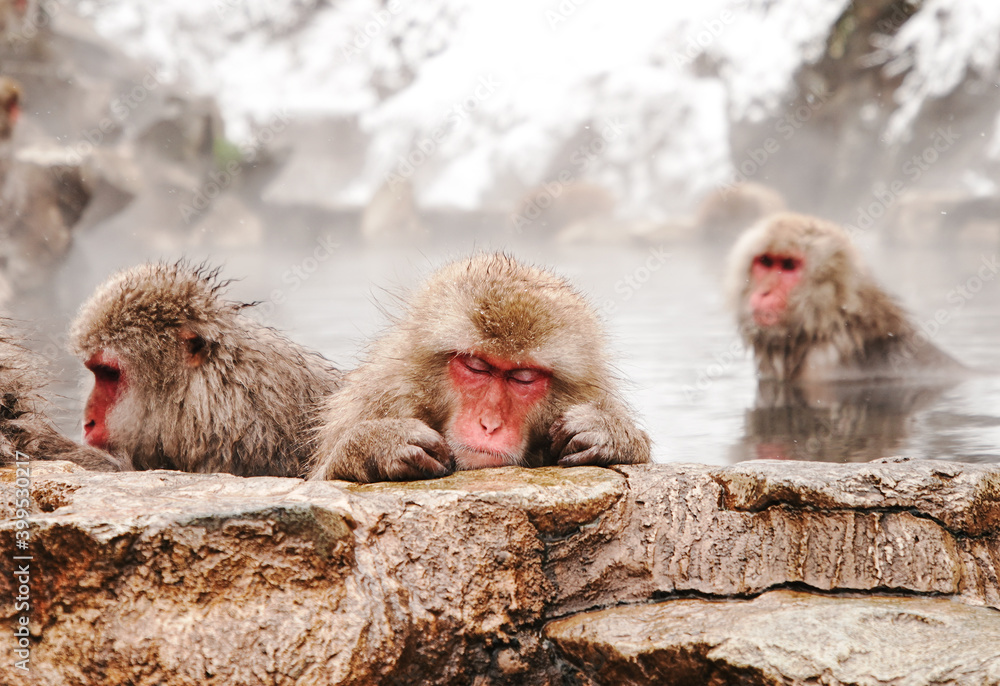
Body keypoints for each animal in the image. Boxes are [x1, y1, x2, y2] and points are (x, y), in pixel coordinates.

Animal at [309, 253, 652, 483]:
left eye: (523, 377)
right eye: (476, 366)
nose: (490, 424)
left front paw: (610, 433)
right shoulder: (381, 395)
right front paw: (377, 445)